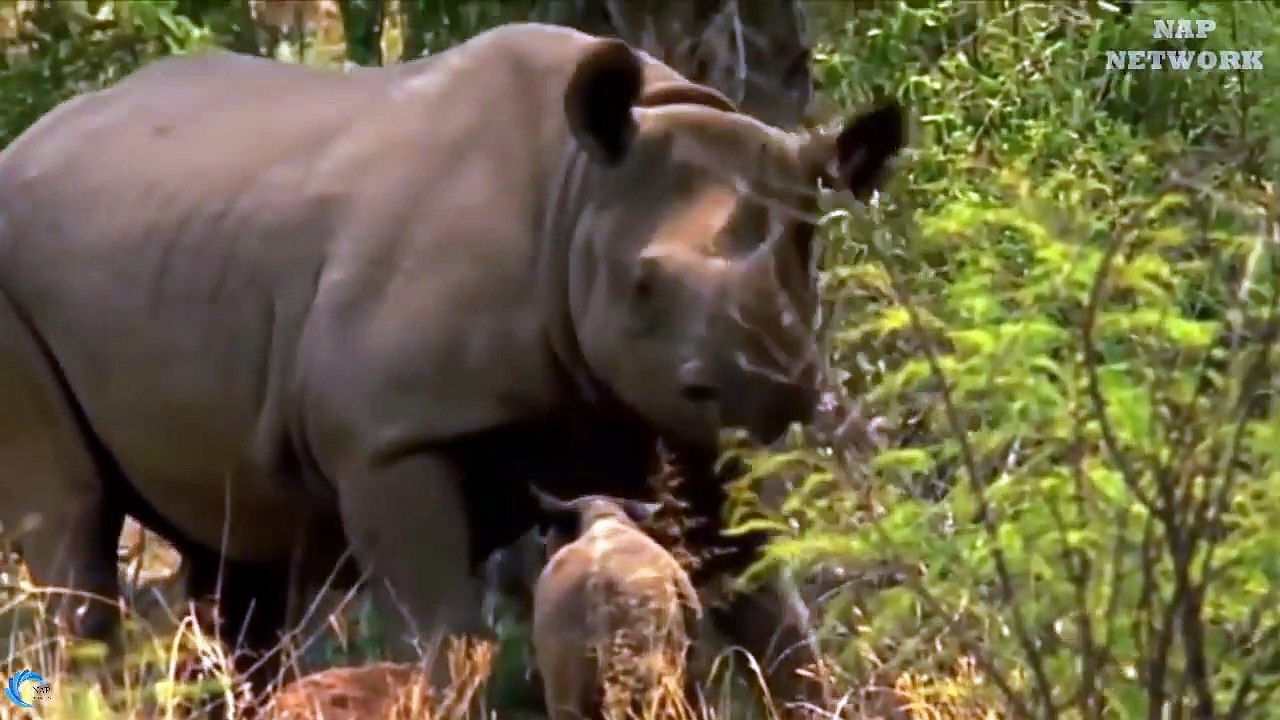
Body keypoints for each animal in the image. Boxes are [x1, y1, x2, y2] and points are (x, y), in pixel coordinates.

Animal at [0, 20, 905, 706]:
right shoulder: (389, 438)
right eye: (643, 282)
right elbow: (447, 632)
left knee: (235, 556)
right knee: (73, 516)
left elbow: (773, 614)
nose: (767, 388)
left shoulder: (671, 419)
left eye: (805, 263)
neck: (578, 192)